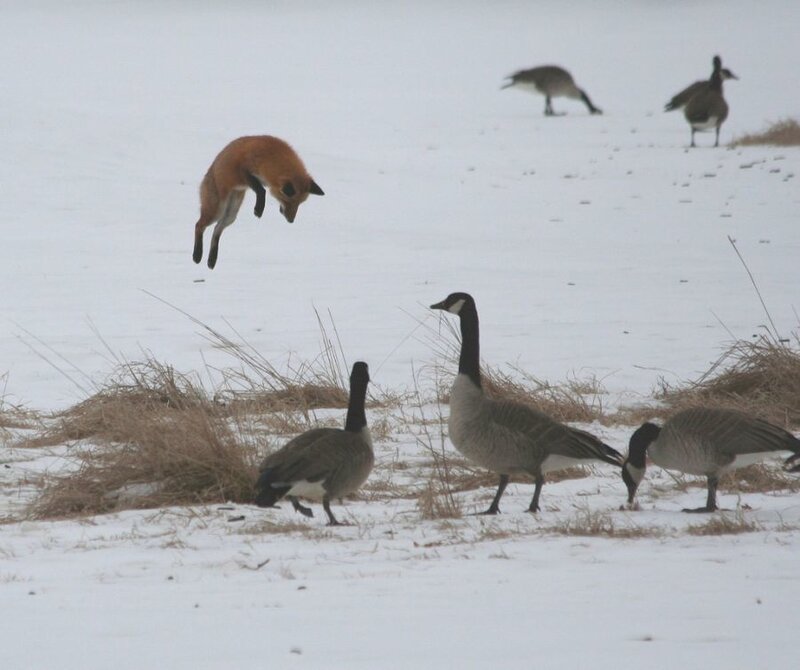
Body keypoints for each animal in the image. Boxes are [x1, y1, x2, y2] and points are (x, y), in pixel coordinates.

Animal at [192, 135, 324, 269]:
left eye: (299, 204)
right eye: (288, 201)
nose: (291, 221)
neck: (269, 156)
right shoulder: (243, 171)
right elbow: (261, 190)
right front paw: (259, 209)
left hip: (231, 215)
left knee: (216, 229)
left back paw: (212, 260)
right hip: (217, 210)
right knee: (199, 225)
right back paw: (197, 255)